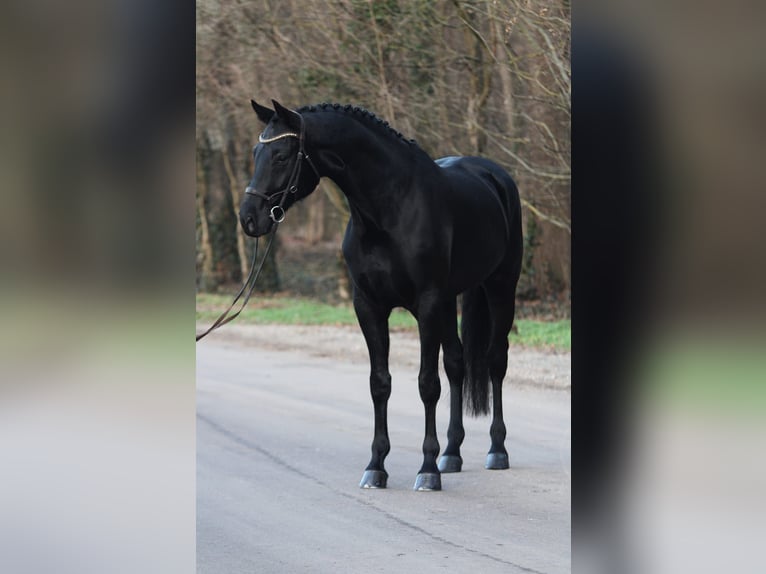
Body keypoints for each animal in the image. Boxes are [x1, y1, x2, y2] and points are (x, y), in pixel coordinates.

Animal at [242, 101, 520, 492]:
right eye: (256, 152)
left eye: (281, 156)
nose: (249, 219)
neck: (389, 209)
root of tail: (496, 176)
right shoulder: (369, 306)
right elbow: (380, 384)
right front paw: (376, 466)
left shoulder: (427, 303)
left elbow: (427, 384)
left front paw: (427, 470)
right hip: (450, 302)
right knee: (456, 364)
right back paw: (452, 454)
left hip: (499, 288)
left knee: (495, 361)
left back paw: (496, 450)